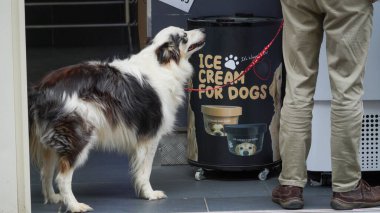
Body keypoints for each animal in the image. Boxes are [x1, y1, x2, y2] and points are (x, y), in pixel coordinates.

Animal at [28, 26, 206, 211]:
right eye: (184, 36)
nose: (202, 28)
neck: (162, 64)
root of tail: (40, 90)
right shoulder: (150, 138)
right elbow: (145, 171)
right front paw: (149, 194)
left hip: (50, 144)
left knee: (46, 172)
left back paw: (53, 198)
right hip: (78, 138)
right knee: (62, 178)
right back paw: (75, 205)